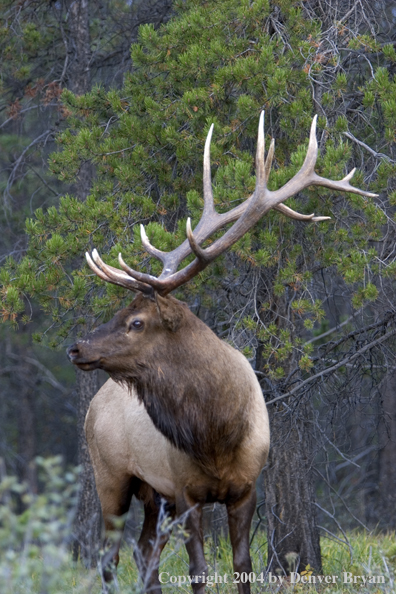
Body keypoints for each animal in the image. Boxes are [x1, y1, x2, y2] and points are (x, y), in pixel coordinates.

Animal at [67, 113, 374, 588]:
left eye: (137, 322)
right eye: (121, 312)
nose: (77, 347)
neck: (218, 434)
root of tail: (95, 403)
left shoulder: (246, 489)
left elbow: (242, 565)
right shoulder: (185, 491)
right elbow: (198, 570)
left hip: (152, 494)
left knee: (144, 551)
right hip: (111, 476)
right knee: (110, 556)